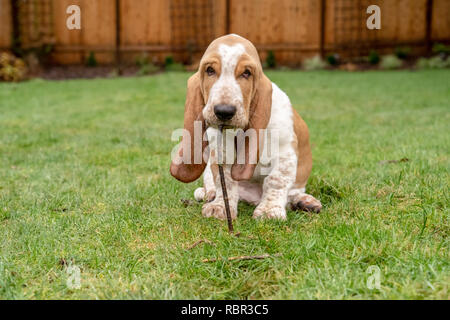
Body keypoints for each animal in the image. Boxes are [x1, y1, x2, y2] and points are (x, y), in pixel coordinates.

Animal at [169, 35, 320, 220]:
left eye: (246, 73)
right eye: (210, 70)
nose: (224, 111)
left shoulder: (285, 152)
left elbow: (276, 180)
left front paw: (269, 211)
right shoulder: (221, 154)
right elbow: (225, 182)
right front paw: (220, 207)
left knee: (294, 193)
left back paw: (305, 202)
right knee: (210, 186)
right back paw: (209, 195)